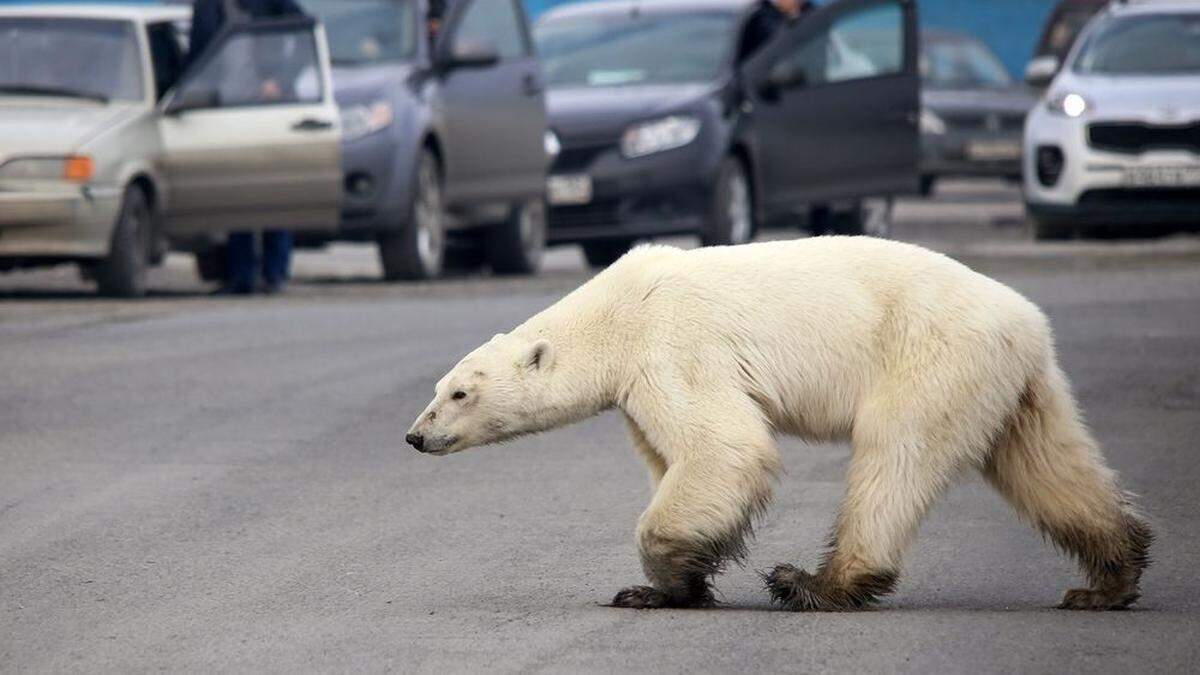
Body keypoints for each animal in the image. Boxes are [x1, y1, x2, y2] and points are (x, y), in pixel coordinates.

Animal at [405, 236, 1152, 610]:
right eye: (438, 388)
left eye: (460, 393)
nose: (415, 435)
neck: (614, 311)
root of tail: (1027, 323)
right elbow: (672, 457)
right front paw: (663, 587)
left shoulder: (673, 345)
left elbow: (723, 446)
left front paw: (665, 576)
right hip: (1013, 384)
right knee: (1046, 464)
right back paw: (1107, 579)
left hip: (930, 354)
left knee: (894, 454)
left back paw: (816, 582)